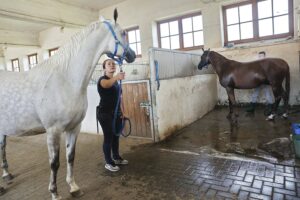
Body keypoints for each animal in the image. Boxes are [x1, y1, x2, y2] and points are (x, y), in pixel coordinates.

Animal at [0, 9, 135, 200]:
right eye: (123, 33)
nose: (132, 55)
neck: (65, 79)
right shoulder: (53, 131)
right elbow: (54, 163)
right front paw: (54, 193)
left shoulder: (74, 127)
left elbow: (70, 157)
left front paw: (73, 187)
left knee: (3, 148)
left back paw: (6, 174)